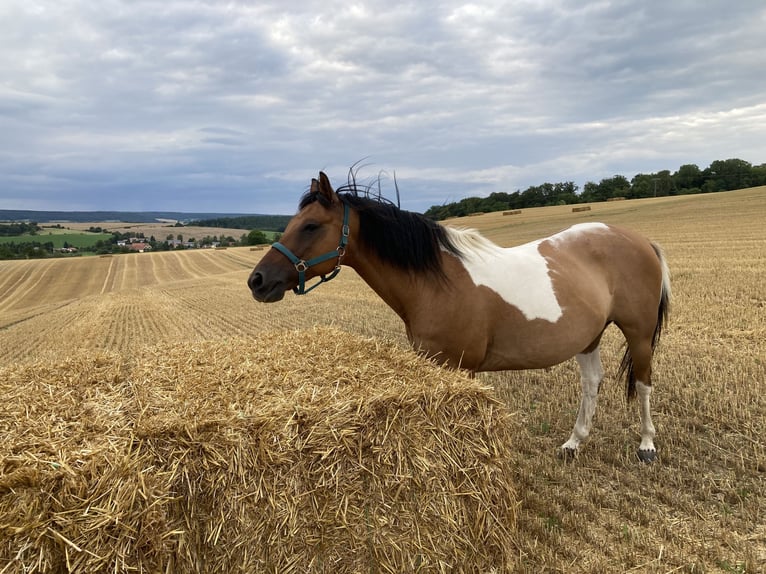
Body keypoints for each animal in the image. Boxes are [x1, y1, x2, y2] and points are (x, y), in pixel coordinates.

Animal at [248, 172, 671, 462]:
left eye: (311, 225)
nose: (257, 281)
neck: (437, 281)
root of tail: (641, 240)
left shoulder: (458, 367)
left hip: (639, 332)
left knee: (644, 383)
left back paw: (647, 444)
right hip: (589, 336)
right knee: (592, 382)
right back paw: (574, 442)